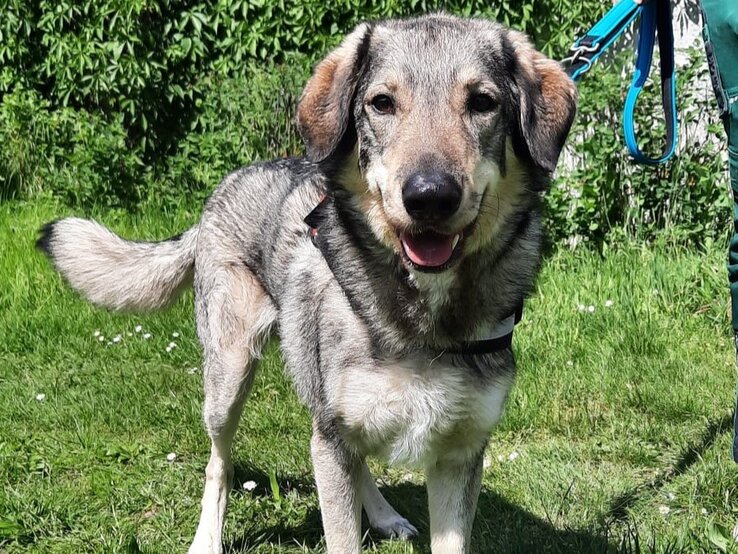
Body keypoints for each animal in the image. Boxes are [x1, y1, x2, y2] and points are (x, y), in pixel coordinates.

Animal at [36, 14, 576, 552]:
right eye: (382, 103)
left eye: (482, 103)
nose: (429, 197)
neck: (424, 318)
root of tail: (225, 186)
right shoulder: (333, 435)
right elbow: (340, 532)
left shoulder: (458, 454)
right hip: (230, 381)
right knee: (219, 464)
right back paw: (207, 538)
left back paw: (384, 516)